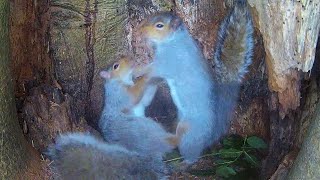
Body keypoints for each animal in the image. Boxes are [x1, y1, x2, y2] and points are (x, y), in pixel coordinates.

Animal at [135, 0, 252, 165]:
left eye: (159, 25)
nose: (139, 31)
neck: (174, 40)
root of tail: (212, 134)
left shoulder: (168, 62)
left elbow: (153, 70)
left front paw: (137, 71)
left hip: (189, 132)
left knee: (192, 154)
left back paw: (183, 162)